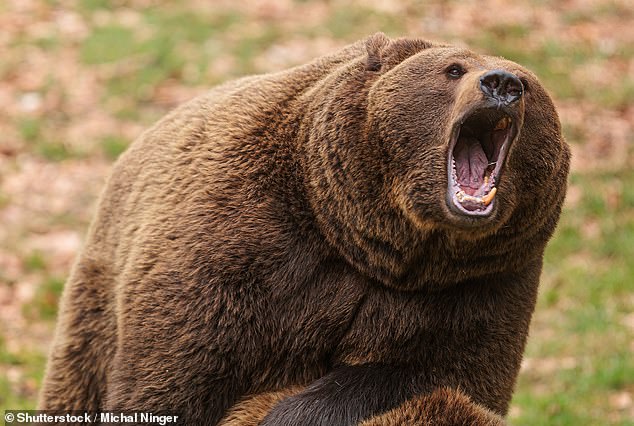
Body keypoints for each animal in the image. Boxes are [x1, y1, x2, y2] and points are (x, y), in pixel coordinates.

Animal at [42, 32, 572, 422]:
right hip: (99, 297)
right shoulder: (241, 249)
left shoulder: (480, 285)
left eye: (529, 85)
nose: (502, 83)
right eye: (454, 69)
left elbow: (442, 373)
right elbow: (173, 380)